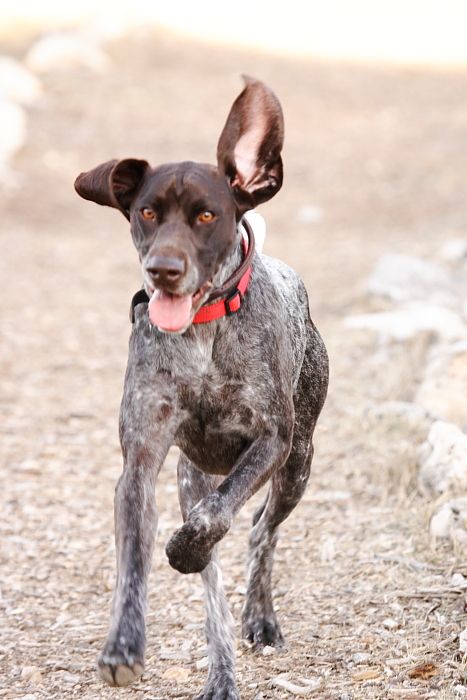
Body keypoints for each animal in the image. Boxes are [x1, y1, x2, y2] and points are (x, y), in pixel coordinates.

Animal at [74, 78, 330, 700]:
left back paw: (259, 615)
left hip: (299, 464)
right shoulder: (141, 463)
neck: (204, 333)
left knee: (260, 532)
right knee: (215, 581)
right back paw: (221, 671)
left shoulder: (272, 441)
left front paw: (183, 550)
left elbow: (216, 522)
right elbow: (136, 560)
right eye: (146, 211)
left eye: (207, 215)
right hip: (193, 476)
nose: (163, 269)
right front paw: (122, 646)